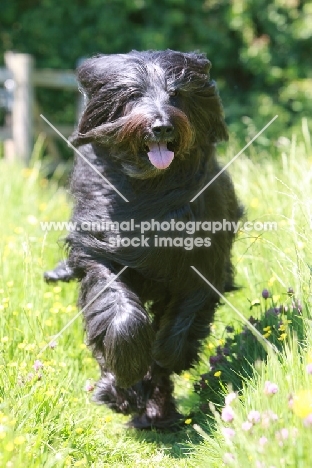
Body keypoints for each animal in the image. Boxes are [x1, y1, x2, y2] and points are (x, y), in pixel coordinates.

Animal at [45, 49, 243, 430]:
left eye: (177, 94)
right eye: (133, 94)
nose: (162, 125)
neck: (150, 186)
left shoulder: (205, 259)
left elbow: (187, 314)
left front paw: (168, 354)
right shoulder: (100, 251)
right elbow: (116, 311)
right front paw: (125, 368)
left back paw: (156, 409)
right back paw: (125, 393)